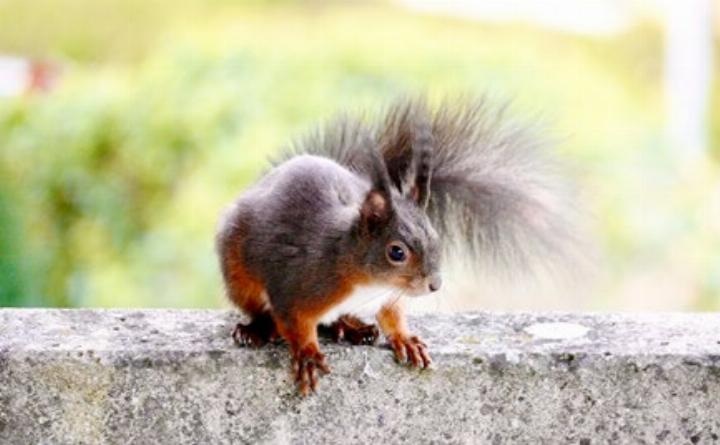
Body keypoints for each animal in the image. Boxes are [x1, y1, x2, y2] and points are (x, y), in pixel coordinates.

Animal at [216, 97, 579, 395]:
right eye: (397, 252)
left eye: (435, 236)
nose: (435, 284)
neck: (362, 277)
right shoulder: (297, 286)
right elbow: (295, 323)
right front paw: (306, 354)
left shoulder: (390, 296)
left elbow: (392, 316)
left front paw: (404, 339)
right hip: (238, 273)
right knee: (259, 309)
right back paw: (258, 329)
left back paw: (350, 327)